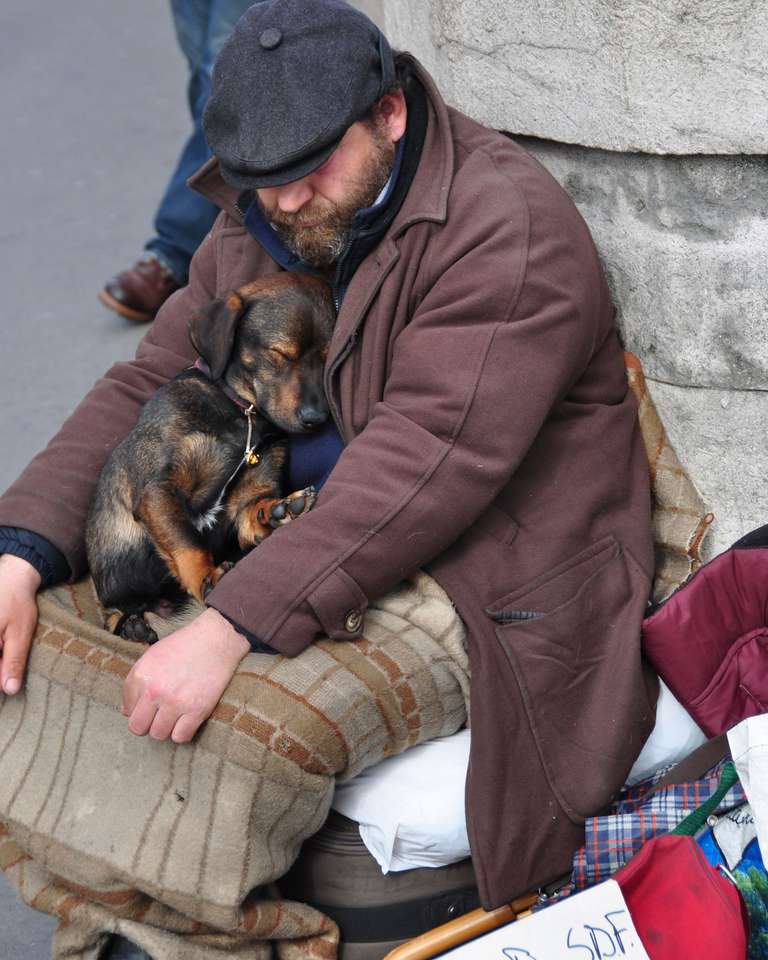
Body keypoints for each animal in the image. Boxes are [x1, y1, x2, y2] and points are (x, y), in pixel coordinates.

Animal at [85, 272, 334, 644]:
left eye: (328, 357)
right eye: (279, 353)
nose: (316, 418)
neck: (243, 417)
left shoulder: (246, 499)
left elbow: (252, 513)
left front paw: (282, 509)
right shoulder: (158, 492)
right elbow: (187, 543)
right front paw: (207, 577)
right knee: (113, 614)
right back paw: (130, 626)